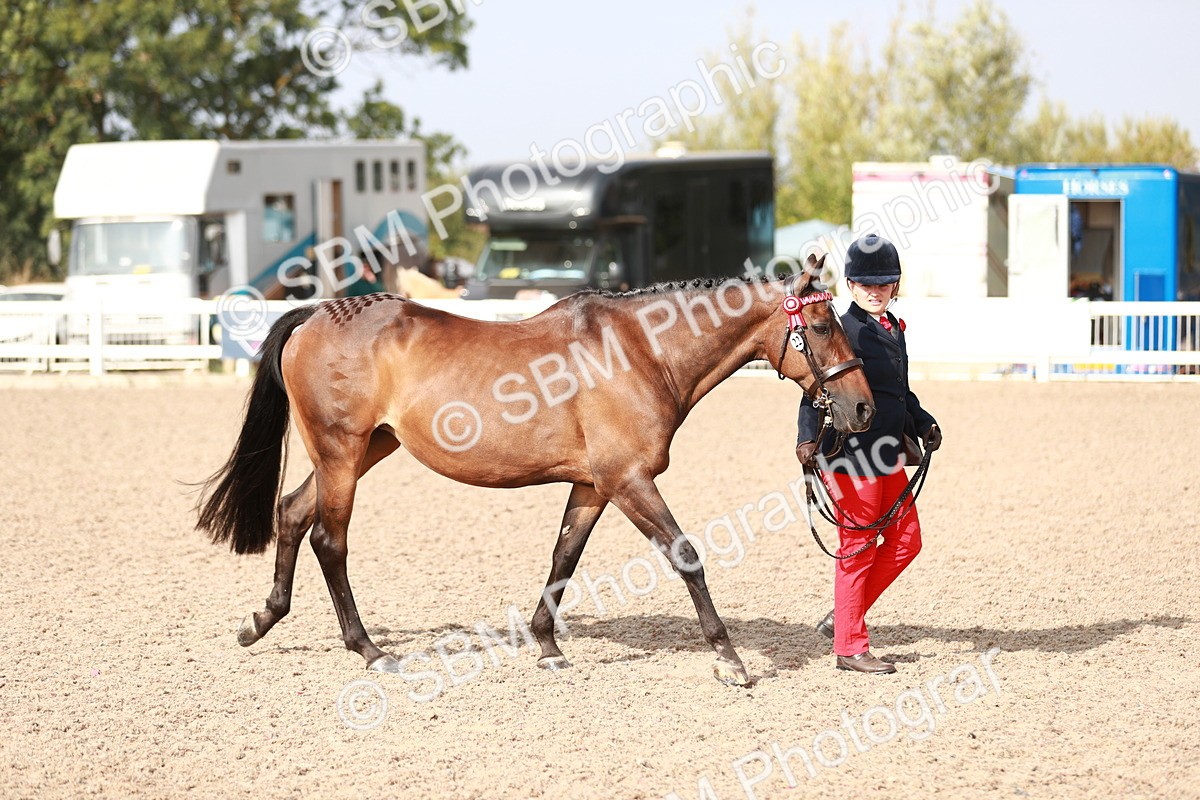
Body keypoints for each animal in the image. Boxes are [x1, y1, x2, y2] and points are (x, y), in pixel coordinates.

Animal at [196, 255, 874, 686]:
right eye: (821, 325)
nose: (862, 407)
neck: (642, 350)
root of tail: (316, 315)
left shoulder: (593, 485)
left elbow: (563, 557)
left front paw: (546, 645)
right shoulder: (629, 481)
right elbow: (686, 556)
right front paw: (729, 659)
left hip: (364, 450)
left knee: (291, 513)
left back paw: (262, 620)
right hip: (341, 452)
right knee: (328, 540)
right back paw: (368, 650)